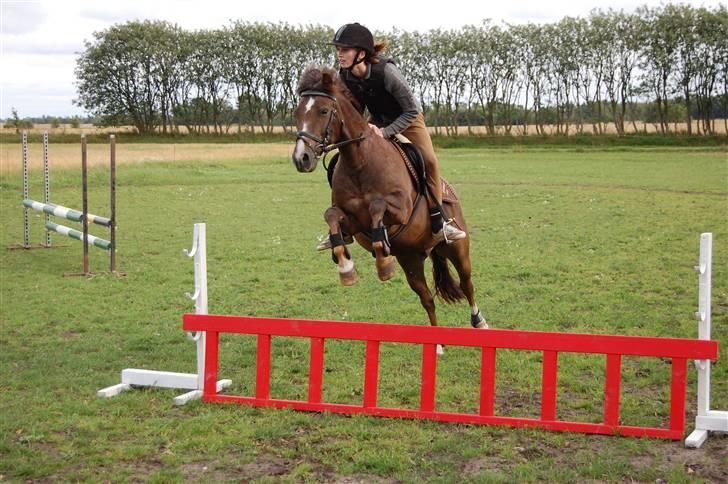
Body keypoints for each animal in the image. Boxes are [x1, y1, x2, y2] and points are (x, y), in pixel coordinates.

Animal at [291, 66, 486, 349]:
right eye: (296, 113)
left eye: (324, 111)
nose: (301, 158)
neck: (360, 162)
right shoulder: (353, 221)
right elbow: (333, 216)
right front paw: (346, 267)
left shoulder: (400, 210)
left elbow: (377, 206)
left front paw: (382, 260)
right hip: (410, 260)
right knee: (427, 298)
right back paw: (436, 344)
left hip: (457, 248)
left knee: (467, 283)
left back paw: (480, 322)